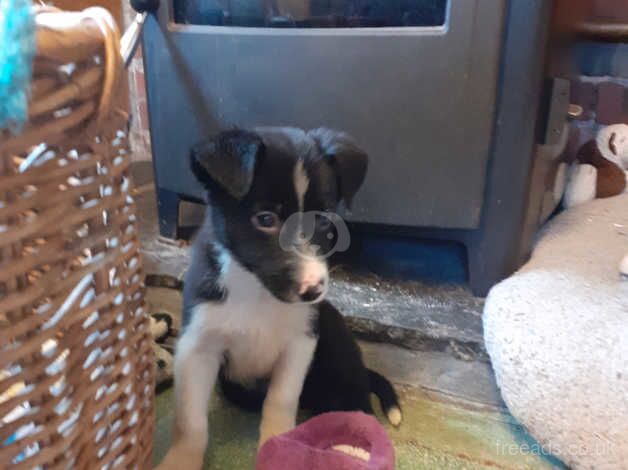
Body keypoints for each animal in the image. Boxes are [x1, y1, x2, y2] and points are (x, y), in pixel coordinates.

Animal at [157, 126, 402, 468]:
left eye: (323, 219)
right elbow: (190, 421)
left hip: (332, 329)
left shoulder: (300, 341)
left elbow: (280, 400)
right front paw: (180, 460)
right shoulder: (198, 346)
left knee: (356, 398)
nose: (314, 290)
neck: (257, 293)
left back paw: (352, 447)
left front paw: (277, 447)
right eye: (265, 219)